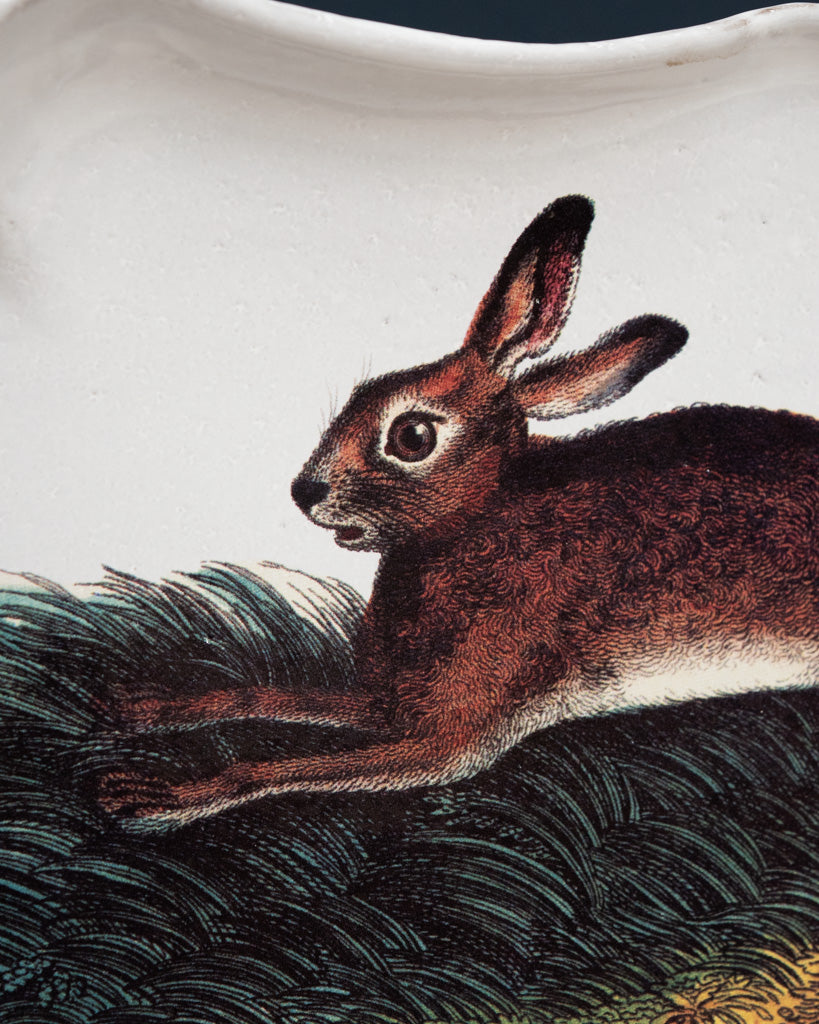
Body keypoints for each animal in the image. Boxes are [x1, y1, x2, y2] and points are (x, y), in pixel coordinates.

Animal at [101, 194, 819, 825]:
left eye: (412, 436)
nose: (304, 492)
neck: (477, 518)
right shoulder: (386, 700)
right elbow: (273, 694)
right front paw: (146, 706)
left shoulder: (453, 736)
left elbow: (285, 766)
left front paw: (163, 796)